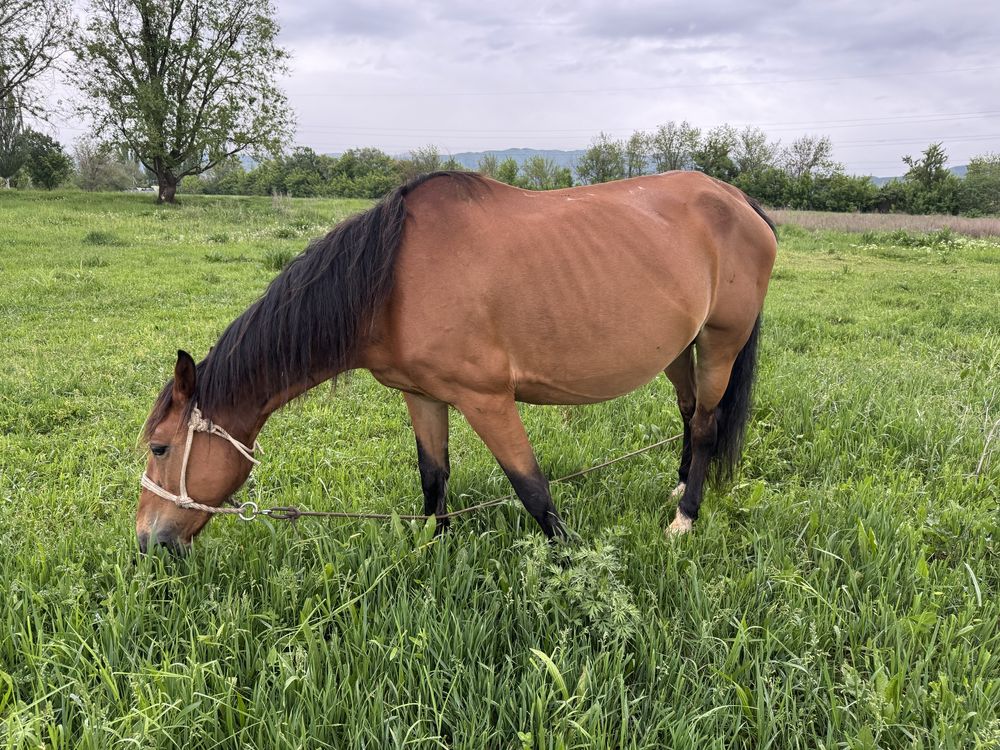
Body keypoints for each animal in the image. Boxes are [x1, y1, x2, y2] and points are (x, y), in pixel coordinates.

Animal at [137, 173, 776, 556]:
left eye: (160, 448)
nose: (146, 541)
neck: (391, 282)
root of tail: (737, 198)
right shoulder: (422, 395)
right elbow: (433, 476)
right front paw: (434, 549)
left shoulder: (487, 400)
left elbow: (533, 489)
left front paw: (574, 563)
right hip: (680, 349)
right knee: (689, 413)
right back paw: (678, 487)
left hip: (720, 343)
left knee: (705, 424)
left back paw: (685, 518)